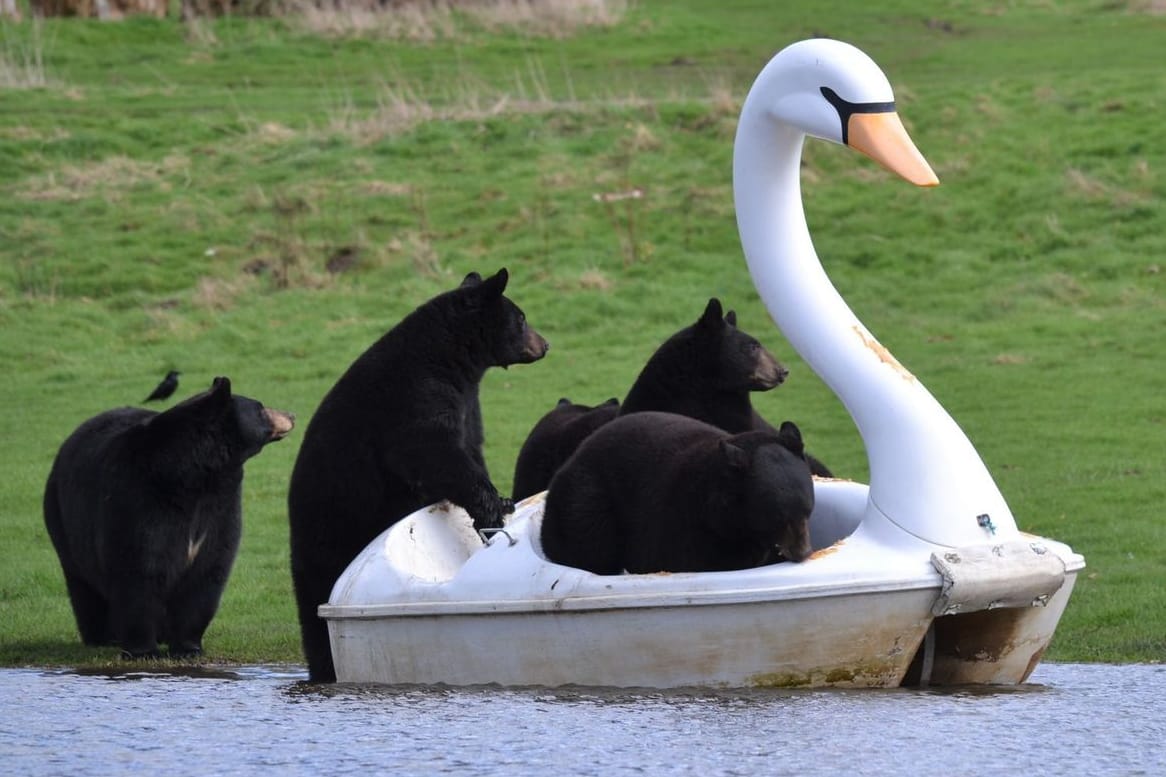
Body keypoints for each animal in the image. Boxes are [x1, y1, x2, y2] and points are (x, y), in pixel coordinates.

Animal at [41, 378, 296, 658]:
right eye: (260, 408)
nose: (291, 415)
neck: (194, 474)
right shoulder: (139, 502)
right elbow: (139, 571)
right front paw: (143, 650)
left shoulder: (220, 508)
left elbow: (207, 572)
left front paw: (188, 647)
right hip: (62, 518)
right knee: (83, 584)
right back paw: (102, 636)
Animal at [289, 266, 548, 676]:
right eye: (521, 318)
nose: (545, 344)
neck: (450, 357)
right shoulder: (414, 397)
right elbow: (431, 452)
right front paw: (494, 508)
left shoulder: (467, 404)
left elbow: (470, 447)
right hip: (329, 533)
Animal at [541, 410, 816, 574]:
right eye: (777, 517)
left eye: (807, 510)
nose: (803, 553)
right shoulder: (684, 524)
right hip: (586, 503)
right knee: (591, 547)